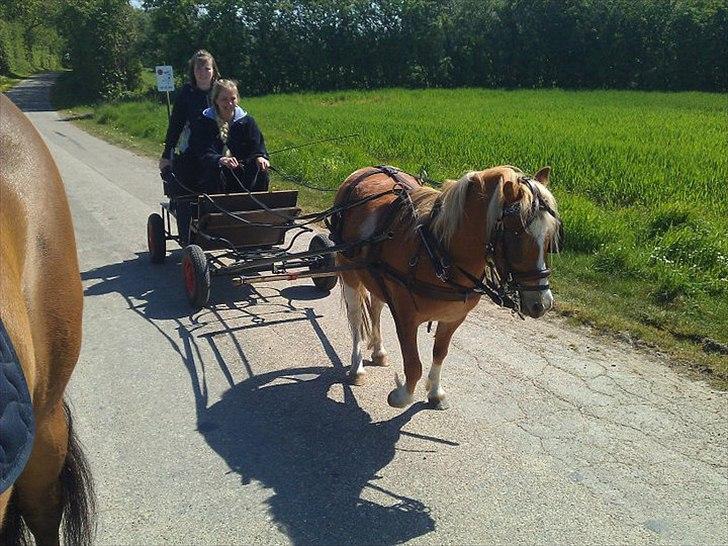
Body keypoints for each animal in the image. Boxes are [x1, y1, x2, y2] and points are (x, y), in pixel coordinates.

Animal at [332, 165, 560, 408]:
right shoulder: (406, 318)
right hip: (350, 273)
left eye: (549, 238)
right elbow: (413, 365)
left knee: (375, 307)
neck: (437, 253)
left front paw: (435, 392)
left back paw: (379, 351)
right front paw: (403, 395)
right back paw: (357, 367)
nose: (542, 304)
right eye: (516, 235)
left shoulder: (453, 318)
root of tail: (364, 170)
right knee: (356, 318)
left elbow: (440, 353)